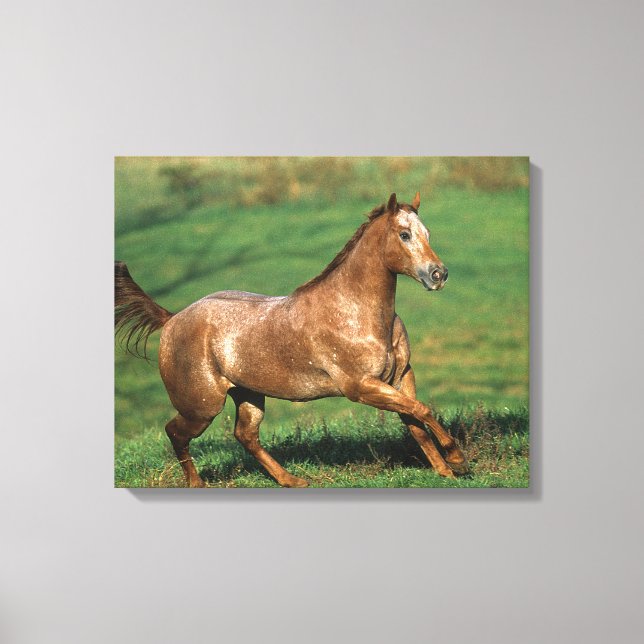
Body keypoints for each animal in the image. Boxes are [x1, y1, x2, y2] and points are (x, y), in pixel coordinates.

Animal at [115, 192, 468, 487]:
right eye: (404, 234)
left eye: (427, 233)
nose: (438, 275)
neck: (354, 310)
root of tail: (172, 319)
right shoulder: (361, 387)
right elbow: (421, 411)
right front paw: (457, 459)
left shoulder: (400, 376)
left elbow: (416, 420)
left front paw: (447, 469)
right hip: (201, 407)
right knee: (176, 432)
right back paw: (197, 484)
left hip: (248, 395)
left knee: (245, 435)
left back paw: (292, 480)